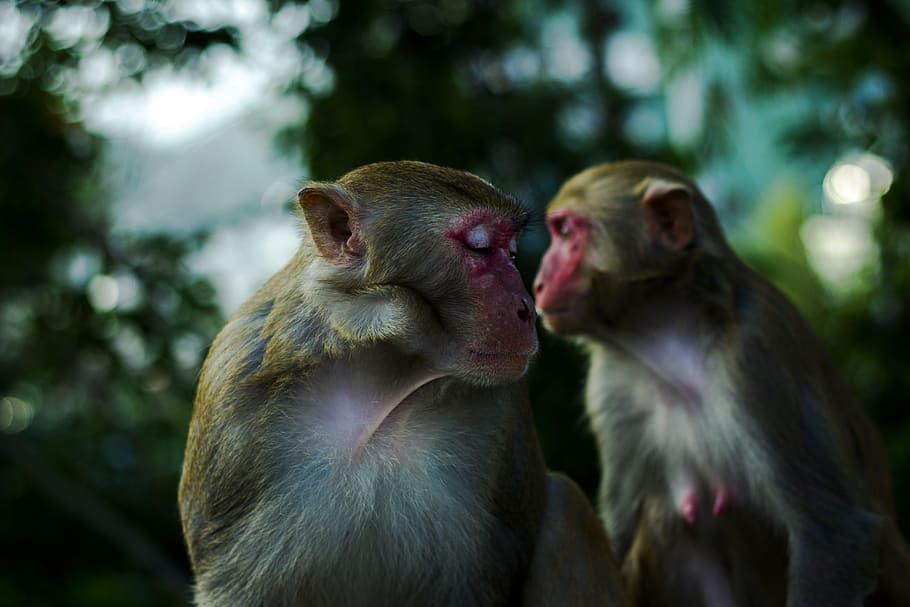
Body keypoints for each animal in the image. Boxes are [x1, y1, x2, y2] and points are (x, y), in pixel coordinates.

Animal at [178, 161, 626, 607]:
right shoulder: (232, 401)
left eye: (512, 251)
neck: (383, 377)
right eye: (480, 248)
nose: (527, 308)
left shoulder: (503, 406)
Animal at [531, 160, 910, 607]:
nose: (537, 283)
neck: (668, 344)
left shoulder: (756, 362)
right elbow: (619, 531)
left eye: (566, 233)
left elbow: (834, 530)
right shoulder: (610, 384)